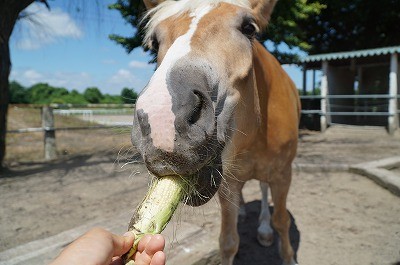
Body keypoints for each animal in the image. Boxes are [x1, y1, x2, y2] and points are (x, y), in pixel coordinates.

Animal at [131, 1, 300, 262]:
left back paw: (263, 229)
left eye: (249, 28)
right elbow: (229, 242)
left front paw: (288, 256)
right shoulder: (227, 182)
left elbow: (281, 222)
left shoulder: (283, 175)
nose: (162, 120)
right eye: (155, 42)